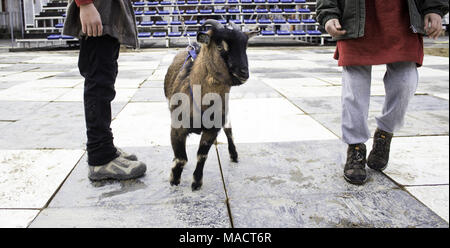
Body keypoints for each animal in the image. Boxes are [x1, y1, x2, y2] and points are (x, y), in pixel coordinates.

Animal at [164, 19, 256, 190]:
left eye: (245, 46)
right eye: (220, 46)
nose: (243, 73)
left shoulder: (213, 127)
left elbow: (202, 155)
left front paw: (196, 182)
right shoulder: (177, 127)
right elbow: (181, 158)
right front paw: (174, 179)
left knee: (229, 129)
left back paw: (234, 154)